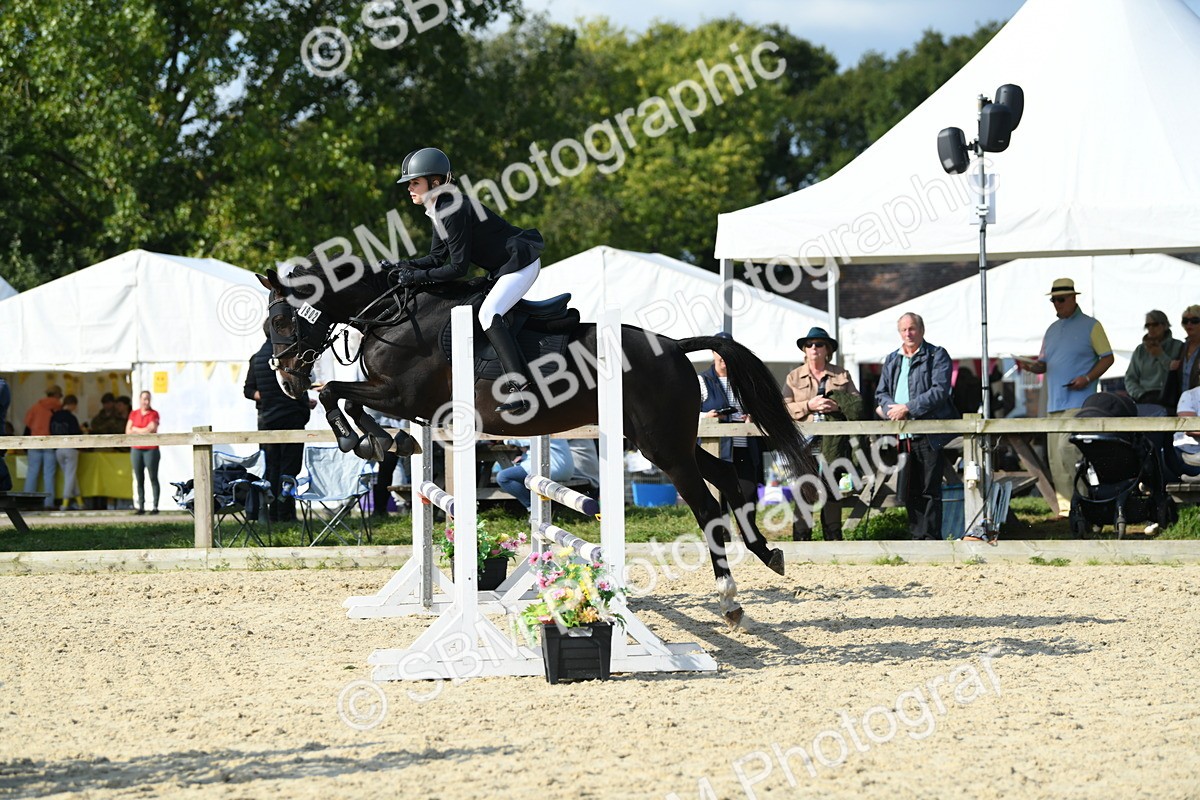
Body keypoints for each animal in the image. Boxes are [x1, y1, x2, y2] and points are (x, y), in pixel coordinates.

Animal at [256, 260, 814, 626]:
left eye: (282, 321)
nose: (285, 380)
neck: (391, 315)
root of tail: (676, 346)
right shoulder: (399, 398)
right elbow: (341, 399)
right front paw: (381, 440)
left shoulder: (401, 393)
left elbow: (334, 391)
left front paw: (368, 440)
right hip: (657, 439)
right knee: (725, 475)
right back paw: (767, 553)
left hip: (663, 446)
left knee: (705, 503)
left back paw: (730, 599)